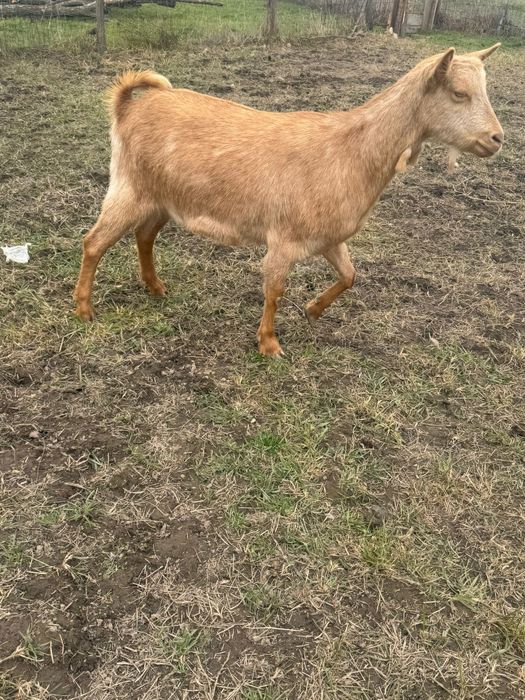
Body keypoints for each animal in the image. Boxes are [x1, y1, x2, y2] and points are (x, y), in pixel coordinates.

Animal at [74, 44, 503, 356]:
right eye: (459, 93)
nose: (497, 138)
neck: (350, 151)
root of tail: (129, 106)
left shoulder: (329, 237)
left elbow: (350, 276)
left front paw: (313, 309)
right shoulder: (284, 238)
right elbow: (274, 290)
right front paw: (269, 344)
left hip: (160, 199)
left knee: (144, 236)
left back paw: (155, 287)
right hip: (128, 188)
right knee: (93, 242)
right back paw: (84, 308)